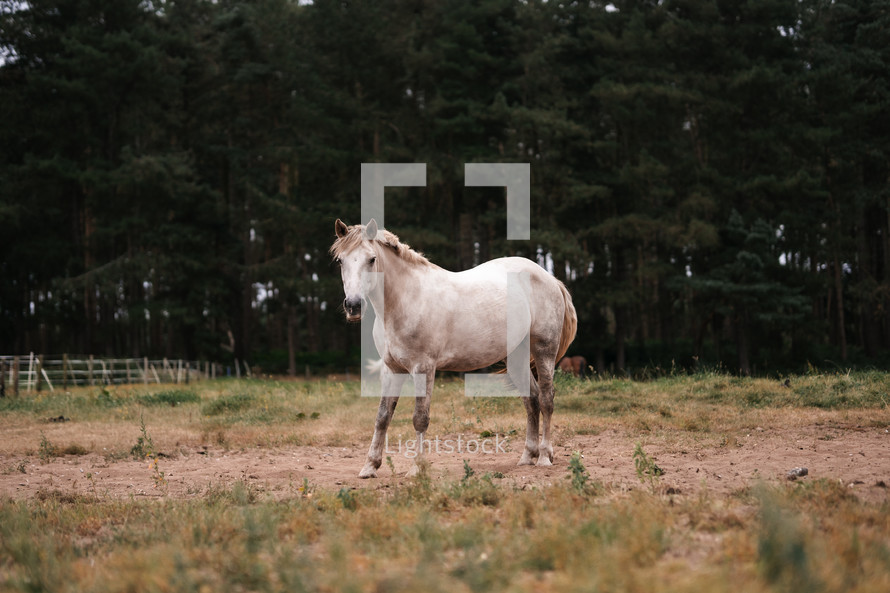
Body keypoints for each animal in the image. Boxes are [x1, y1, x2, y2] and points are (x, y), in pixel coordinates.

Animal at [328, 217, 576, 476]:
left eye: (372, 259)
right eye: (340, 260)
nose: (353, 306)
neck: (406, 300)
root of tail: (550, 278)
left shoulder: (424, 368)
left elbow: (420, 418)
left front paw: (417, 468)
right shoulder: (392, 369)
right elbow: (382, 416)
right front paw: (369, 467)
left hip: (544, 350)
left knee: (546, 399)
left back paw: (545, 456)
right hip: (515, 358)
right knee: (532, 400)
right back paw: (528, 456)